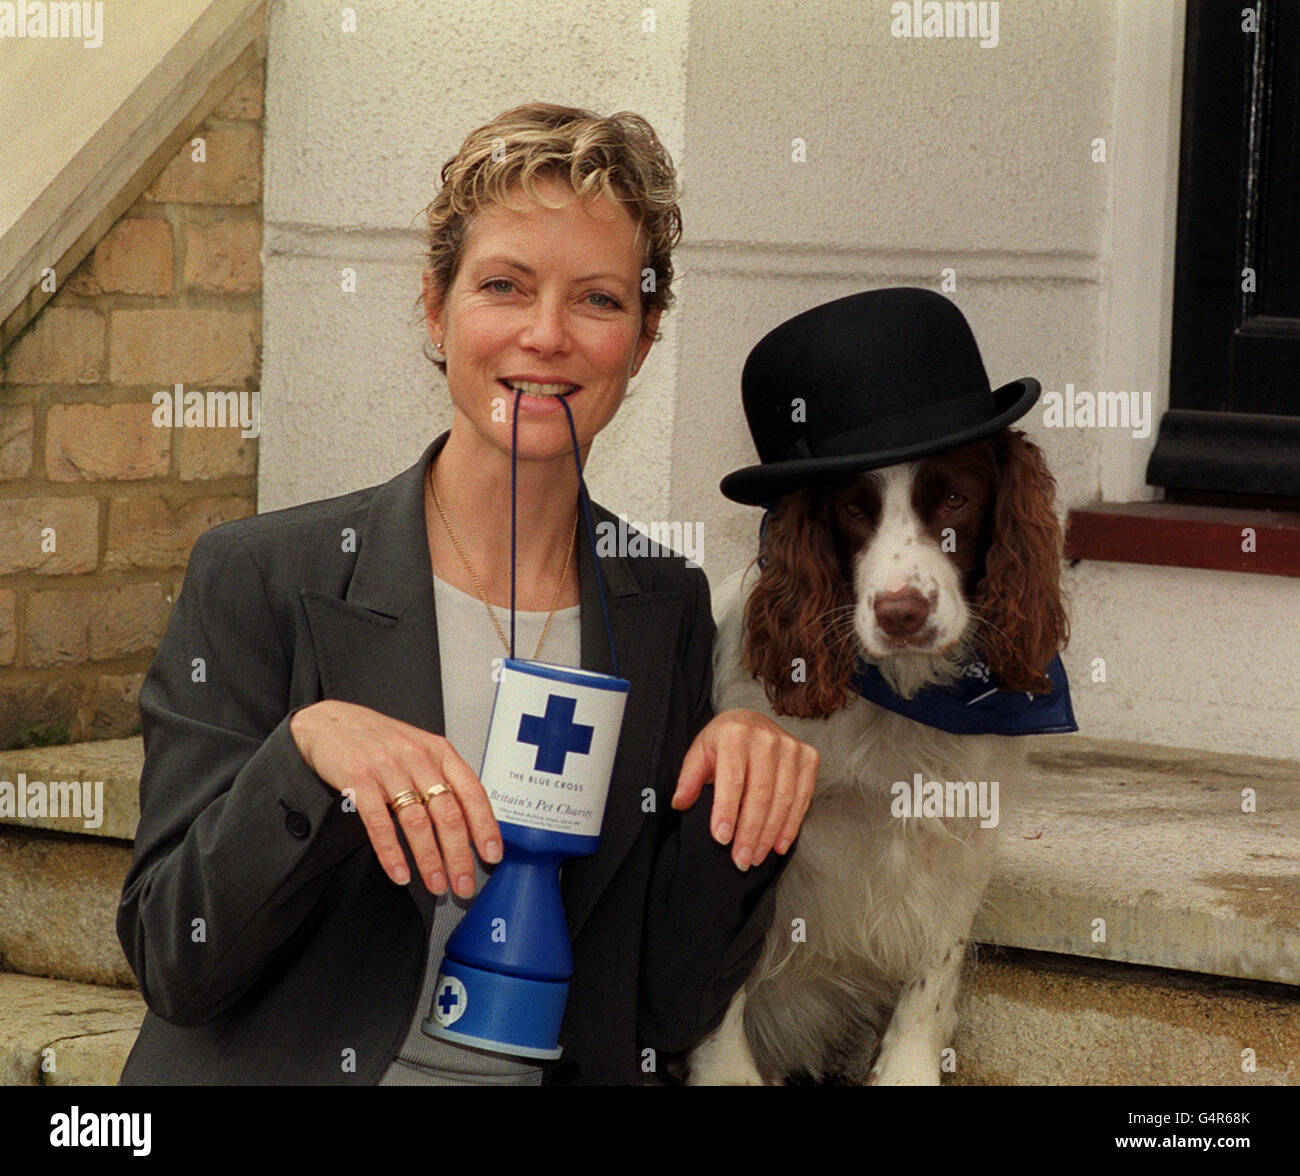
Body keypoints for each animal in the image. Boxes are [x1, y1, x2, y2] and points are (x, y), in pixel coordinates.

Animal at [691, 426, 1066, 1086]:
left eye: (956, 500)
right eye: (852, 509)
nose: (900, 613)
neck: (902, 695)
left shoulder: (963, 833)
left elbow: (934, 971)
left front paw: (906, 1071)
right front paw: (727, 1073)